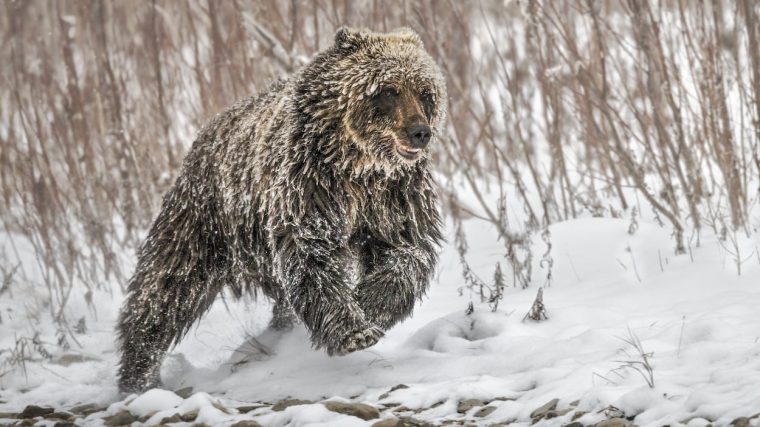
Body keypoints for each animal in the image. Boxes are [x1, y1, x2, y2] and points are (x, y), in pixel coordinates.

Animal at [116, 26, 448, 392]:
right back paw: (139, 373)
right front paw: (352, 332)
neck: (358, 165)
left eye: (426, 92)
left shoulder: (393, 197)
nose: (420, 132)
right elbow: (312, 257)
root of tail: (206, 132)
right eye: (388, 90)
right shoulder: (311, 188)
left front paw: (369, 305)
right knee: (165, 287)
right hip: (204, 219)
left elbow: (406, 252)